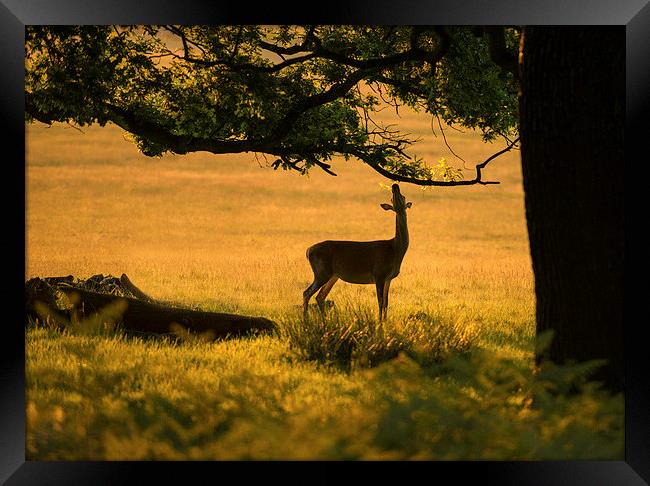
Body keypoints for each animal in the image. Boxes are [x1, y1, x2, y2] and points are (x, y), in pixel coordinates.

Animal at [302, 184, 410, 320]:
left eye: (403, 196)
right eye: (392, 199)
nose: (395, 186)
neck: (395, 249)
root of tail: (308, 250)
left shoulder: (388, 278)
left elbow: (386, 302)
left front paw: (385, 321)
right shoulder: (378, 273)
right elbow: (380, 302)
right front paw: (379, 321)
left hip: (333, 275)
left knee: (320, 296)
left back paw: (324, 320)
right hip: (321, 272)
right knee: (307, 293)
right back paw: (306, 320)